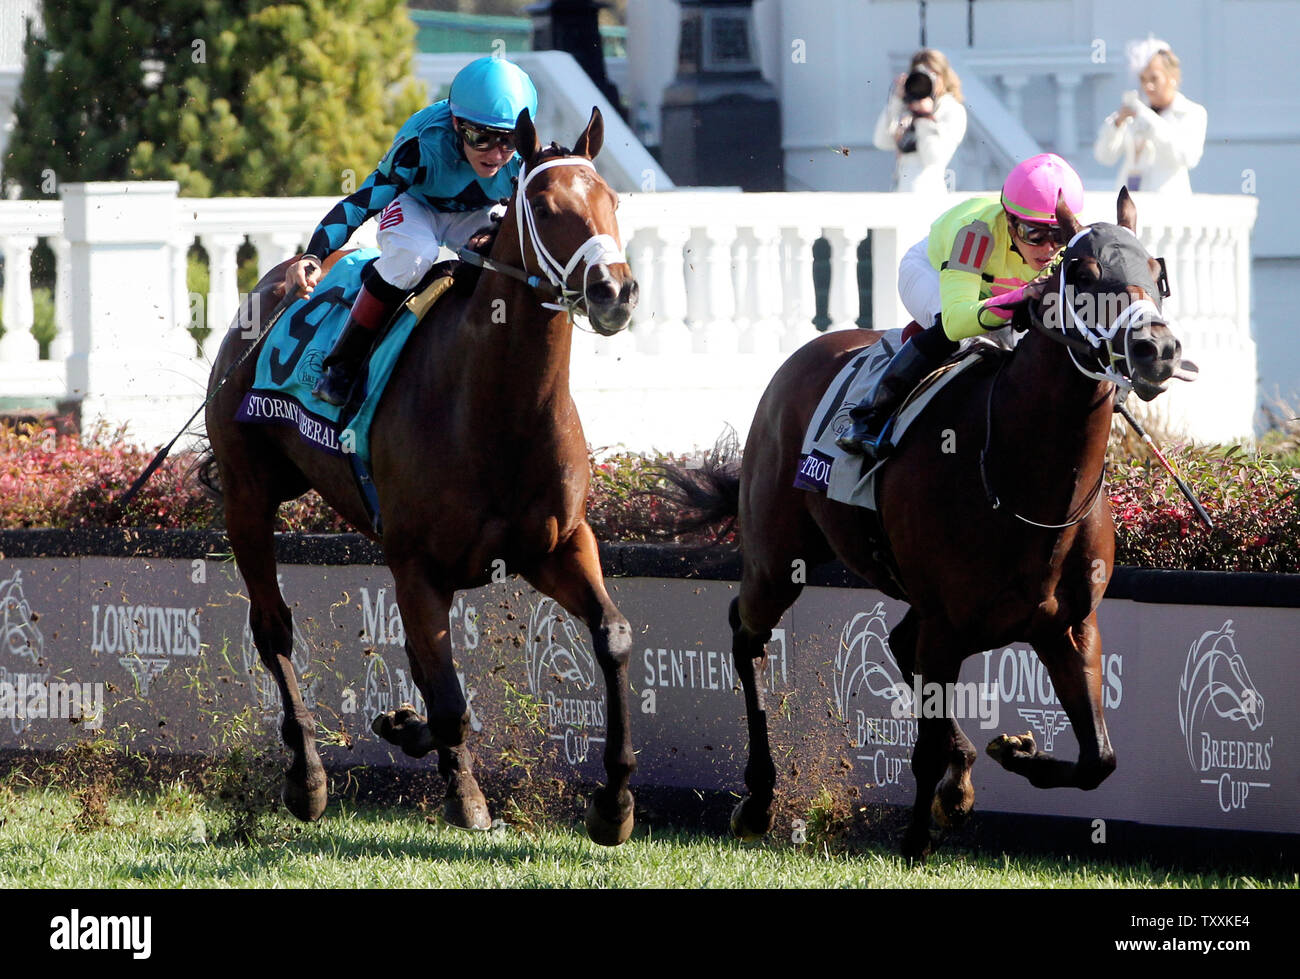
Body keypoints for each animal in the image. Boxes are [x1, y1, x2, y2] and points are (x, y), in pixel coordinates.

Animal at [201, 105, 639, 842]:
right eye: (548, 206)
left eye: (611, 199)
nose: (616, 291)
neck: (495, 406)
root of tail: (281, 278)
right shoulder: (417, 566)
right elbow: (450, 696)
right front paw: (458, 787)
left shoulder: (557, 544)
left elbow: (610, 639)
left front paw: (613, 801)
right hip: (247, 494)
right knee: (274, 627)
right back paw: (307, 777)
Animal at [670, 188, 1190, 852]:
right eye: (1085, 273)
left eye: (1157, 273)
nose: (1158, 351)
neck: (1023, 482)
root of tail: (804, 354)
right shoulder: (948, 625)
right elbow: (922, 749)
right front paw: (915, 841)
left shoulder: (1068, 626)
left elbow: (1099, 759)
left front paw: (1013, 754)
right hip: (776, 559)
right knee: (747, 632)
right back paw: (760, 798)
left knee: (897, 642)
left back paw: (959, 775)